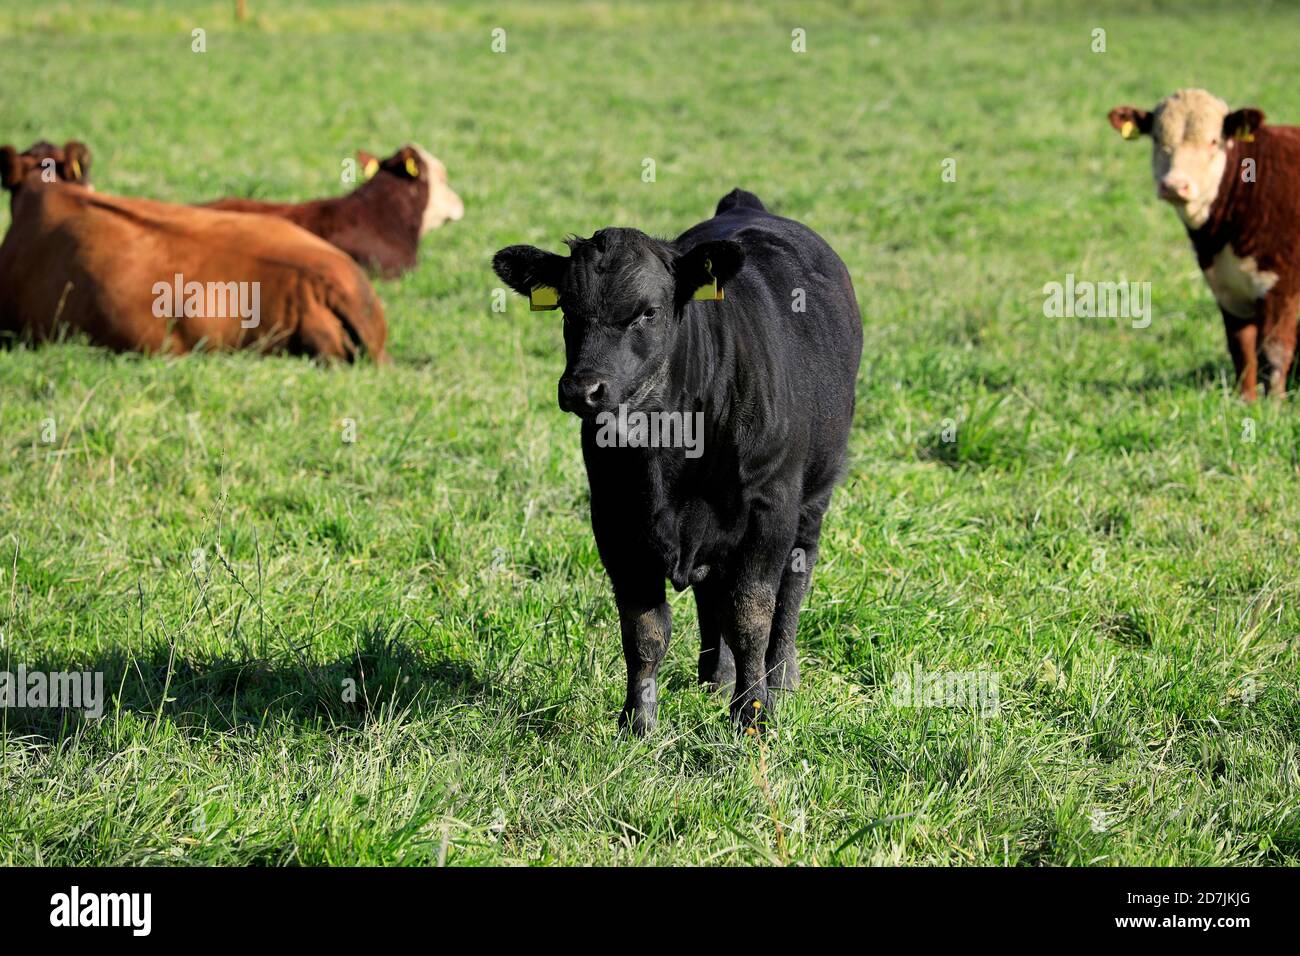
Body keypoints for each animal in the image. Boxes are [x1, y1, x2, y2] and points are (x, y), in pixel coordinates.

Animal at [488, 191, 863, 738]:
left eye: (648, 311)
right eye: (567, 311)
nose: (582, 388)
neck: (670, 455)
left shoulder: (769, 510)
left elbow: (751, 616)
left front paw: (752, 715)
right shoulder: (614, 519)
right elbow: (645, 629)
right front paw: (637, 722)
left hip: (814, 494)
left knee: (794, 581)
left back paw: (782, 676)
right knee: (711, 592)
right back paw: (714, 677)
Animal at [1107, 89, 1300, 400]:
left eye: (1212, 141)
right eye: (1157, 139)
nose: (1174, 185)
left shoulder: (1280, 283)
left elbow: (1274, 350)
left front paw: (1274, 405)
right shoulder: (1227, 287)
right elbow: (1242, 349)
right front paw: (1246, 402)